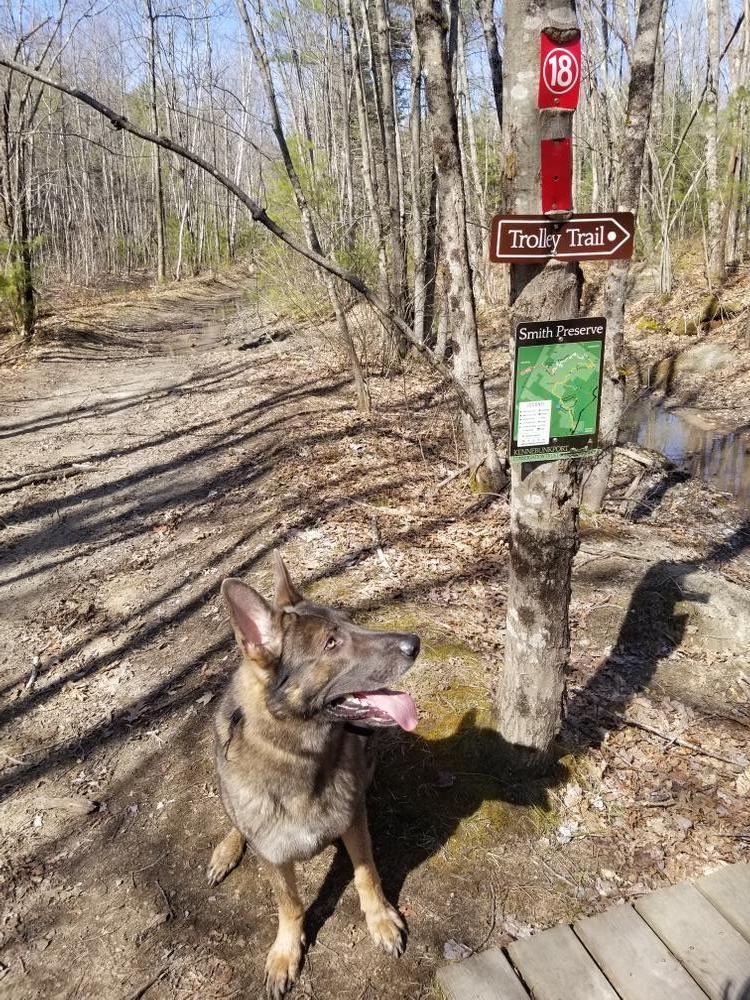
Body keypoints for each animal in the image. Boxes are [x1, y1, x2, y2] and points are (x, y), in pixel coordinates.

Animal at [209, 552, 420, 996]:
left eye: (352, 623)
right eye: (331, 643)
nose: (416, 642)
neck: (300, 757)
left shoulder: (354, 820)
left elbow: (366, 873)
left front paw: (380, 919)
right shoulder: (273, 856)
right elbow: (289, 904)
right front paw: (286, 951)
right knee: (236, 822)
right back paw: (227, 848)